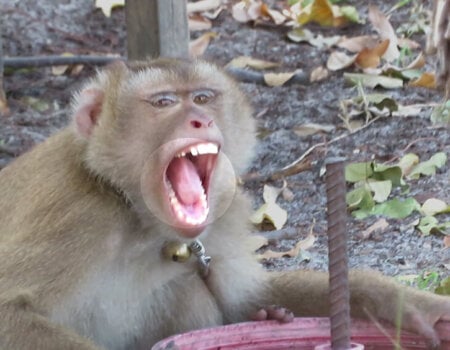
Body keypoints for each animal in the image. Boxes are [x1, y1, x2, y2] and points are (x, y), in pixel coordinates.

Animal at [0, 58, 448, 350]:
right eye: (163, 102)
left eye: (202, 97)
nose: (201, 119)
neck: (134, 211)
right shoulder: (76, 216)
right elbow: (10, 311)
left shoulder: (226, 210)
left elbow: (244, 301)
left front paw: (405, 303)